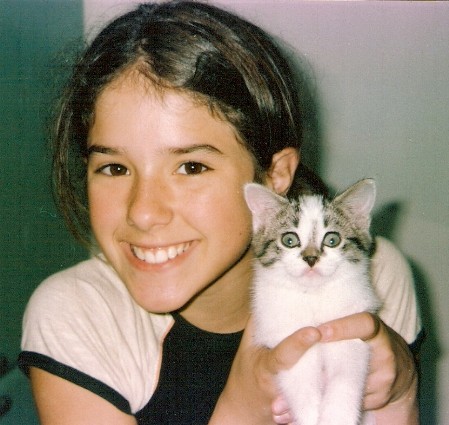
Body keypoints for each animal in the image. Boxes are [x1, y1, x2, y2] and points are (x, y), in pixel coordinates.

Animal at [244, 179, 381, 425]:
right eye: (289, 240)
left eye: (332, 239)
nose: (310, 258)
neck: (313, 297)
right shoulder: (285, 340)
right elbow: (301, 384)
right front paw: (309, 416)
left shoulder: (352, 327)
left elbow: (347, 375)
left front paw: (337, 416)